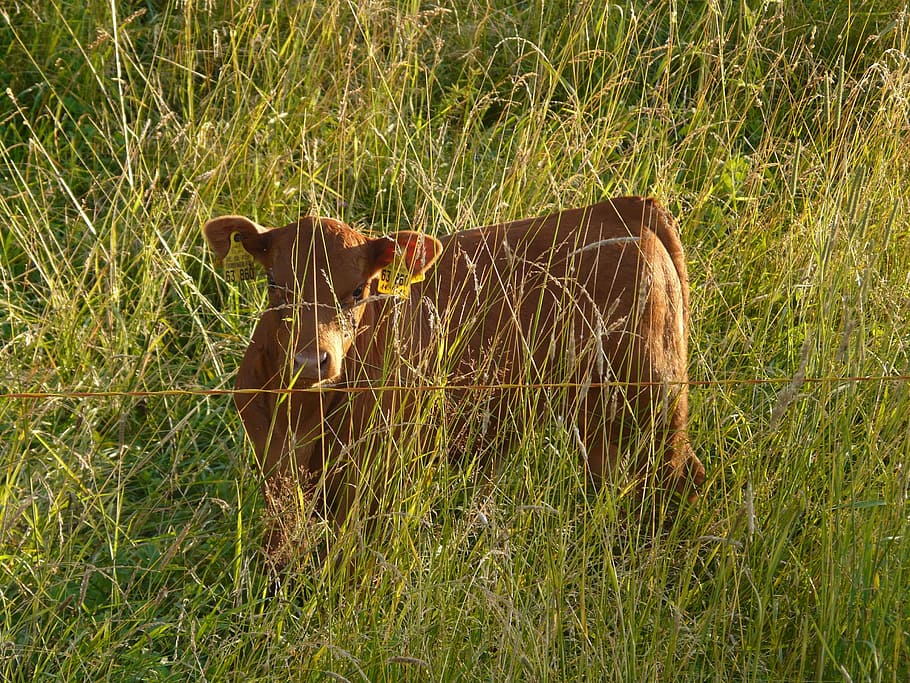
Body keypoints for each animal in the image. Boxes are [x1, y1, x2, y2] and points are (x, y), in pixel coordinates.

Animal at [203, 197, 704, 564]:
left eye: (358, 291)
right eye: (275, 285)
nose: (312, 360)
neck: (306, 407)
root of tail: (629, 206)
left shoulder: (374, 469)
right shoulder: (275, 461)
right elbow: (281, 542)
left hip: (646, 399)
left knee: (676, 478)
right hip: (603, 419)